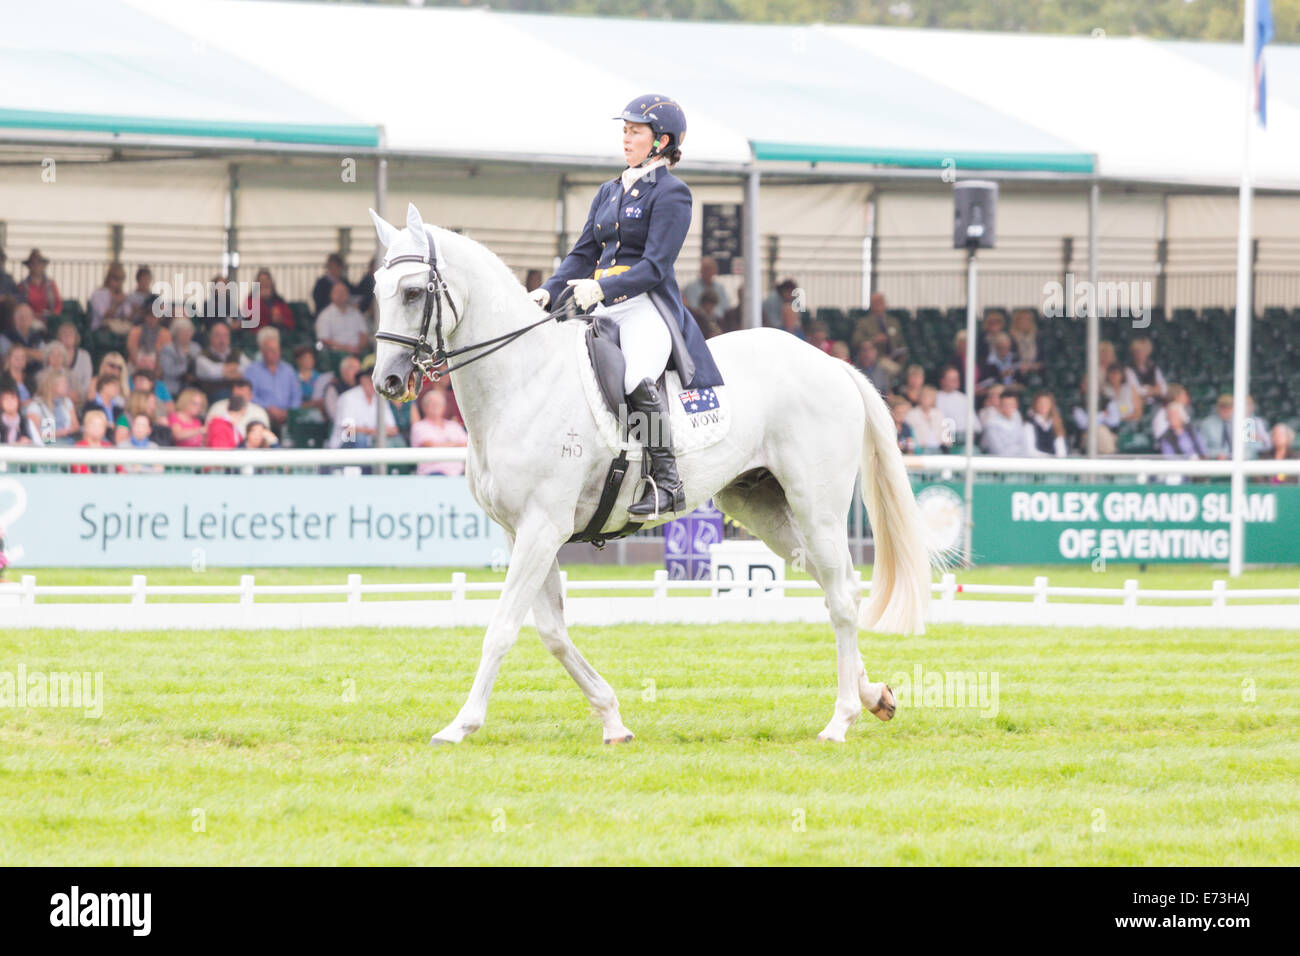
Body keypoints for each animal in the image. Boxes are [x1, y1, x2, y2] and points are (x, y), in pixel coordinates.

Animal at [371, 204, 930, 749]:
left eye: (413, 292)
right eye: (377, 290)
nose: (388, 382)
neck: (524, 380)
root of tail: (832, 363)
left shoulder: (542, 527)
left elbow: (503, 628)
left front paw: (460, 725)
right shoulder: (520, 532)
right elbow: (551, 631)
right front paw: (611, 718)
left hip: (818, 507)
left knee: (842, 597)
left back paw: (841, 720)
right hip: (761, 506)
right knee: (831, 583)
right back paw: (875, 695)